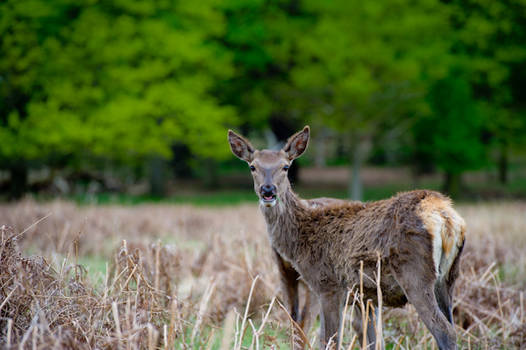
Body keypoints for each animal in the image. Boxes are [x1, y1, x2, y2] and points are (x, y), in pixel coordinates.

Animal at [229, 126, 468, 350]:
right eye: (252, 167)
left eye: (285, 167)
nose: (268, 190)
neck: (300, 239)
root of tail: (446, 216)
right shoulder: (360, 296)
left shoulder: (328, 285)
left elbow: (330, 340)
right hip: (448, 278)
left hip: (415, 273)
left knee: (445, 330)